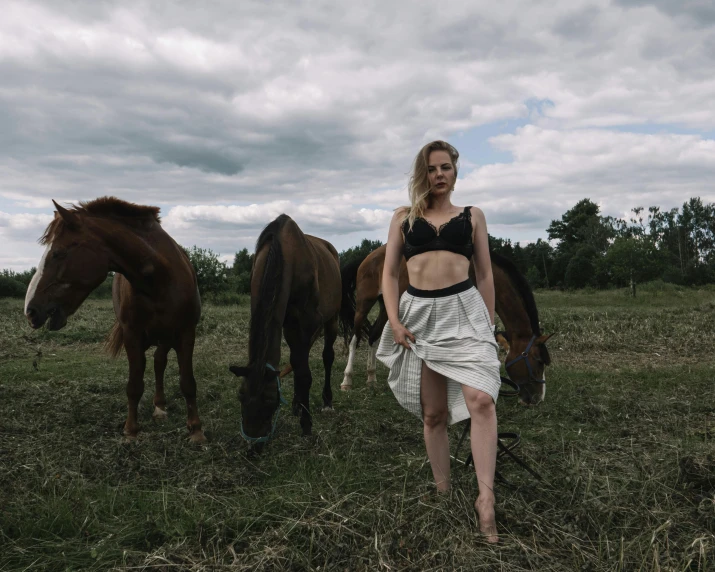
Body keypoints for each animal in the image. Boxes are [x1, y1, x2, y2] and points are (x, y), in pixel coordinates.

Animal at [23, 197, 206, 442]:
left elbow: (188, 382)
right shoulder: (132, 335)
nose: (30, 311)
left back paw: (160, 407)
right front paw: (131, 430)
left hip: (166, 336)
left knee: (159, 362)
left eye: (58, 253)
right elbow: (134, 385)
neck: (159, 279)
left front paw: (196, 430)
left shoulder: (186, 333)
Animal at [229, 214, 342, 446]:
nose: (254, 444)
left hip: (332, 320)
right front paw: (298, 407)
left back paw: (326, 401)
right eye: (240, 396)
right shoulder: (288, 324)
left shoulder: (305, 323)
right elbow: (297, 365)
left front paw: (306, 425)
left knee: (327, 356)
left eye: (270, 400)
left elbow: (304, 373)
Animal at [340, 244, 552, 404]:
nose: (538, 398)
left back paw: (371, 378)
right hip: (364, 304)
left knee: (373, 337)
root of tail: (368, 257)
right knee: (354, 338)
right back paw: (347, 380)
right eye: (538, 361)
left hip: (386, 306)